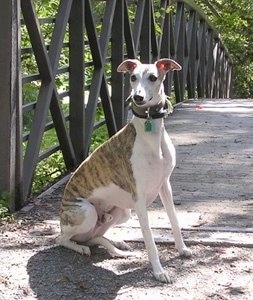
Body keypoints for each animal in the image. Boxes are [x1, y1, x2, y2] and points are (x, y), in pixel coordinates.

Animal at [56, 58, 191, 284]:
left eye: (153, 77)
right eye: (133, 77)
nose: (137, 97)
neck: (151, 136)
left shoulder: (165, 185)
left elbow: (174, 220)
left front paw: (182, 249)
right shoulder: (139, 198)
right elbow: (149, 239)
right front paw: (159, 272)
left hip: (121, 212)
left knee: (95, 236)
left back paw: (116, 244)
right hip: (87, 212)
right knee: (61, 238)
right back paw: (80, 248)